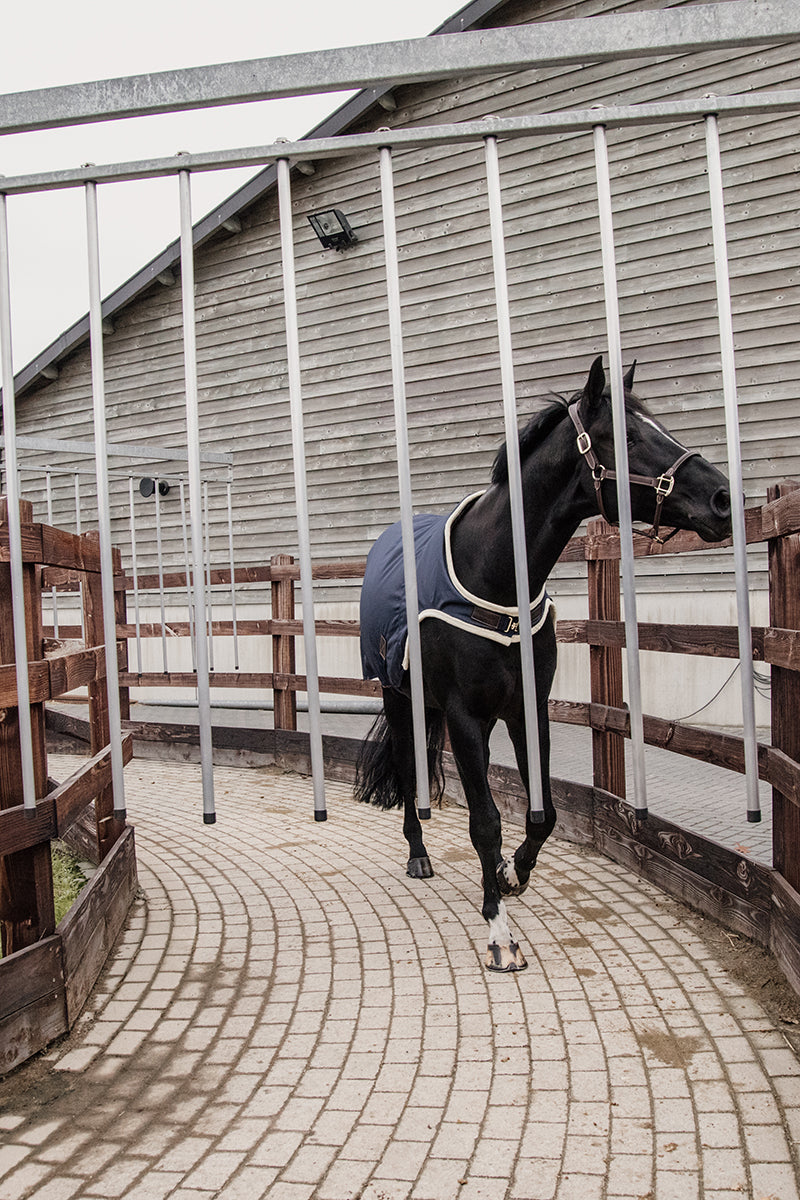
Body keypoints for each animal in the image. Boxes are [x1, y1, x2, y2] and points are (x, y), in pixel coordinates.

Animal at [357, 352, 734, 964]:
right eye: (628, 436)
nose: (724, 499)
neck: (495, 574)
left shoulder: (526, 711)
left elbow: (543, 812)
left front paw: (511, 875)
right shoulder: (463, 716)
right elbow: (485, 822)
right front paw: (498, 929)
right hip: (399, 698)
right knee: (410, 766)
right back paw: (418, 855)